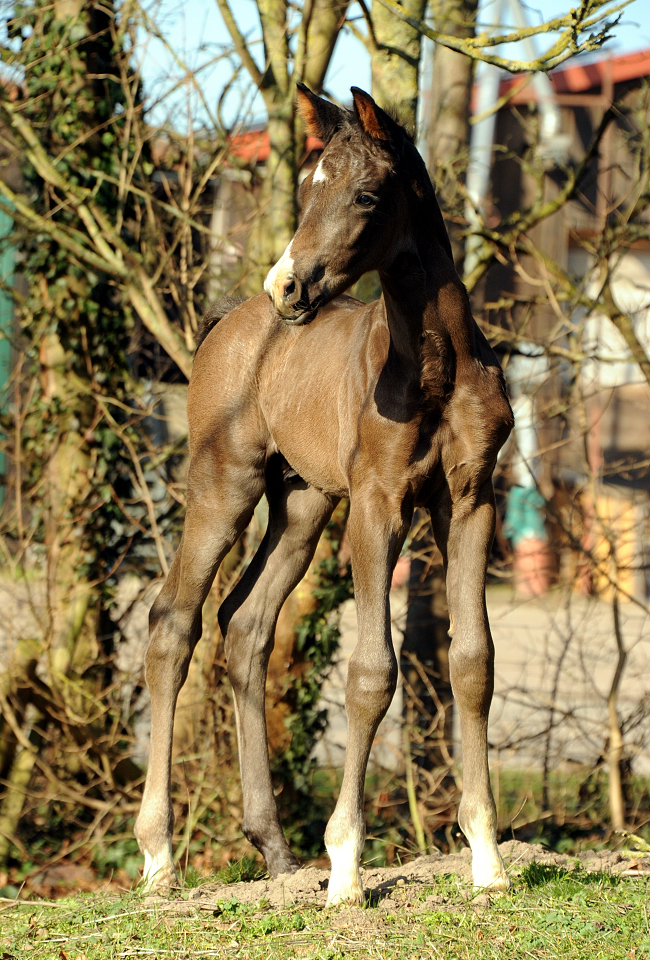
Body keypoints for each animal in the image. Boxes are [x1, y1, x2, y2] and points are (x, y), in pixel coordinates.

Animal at [134, 86, 512, 904]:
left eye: (366, 194)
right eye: (307, 188)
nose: (287, 286)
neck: (436, 366)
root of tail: (231, 322)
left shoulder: (471, 501)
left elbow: (473, 661)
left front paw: (488, 858)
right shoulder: (377, 503)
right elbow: (372, 673)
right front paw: (346, 866)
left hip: (302, 506)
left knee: (244, 624)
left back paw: (276, 854)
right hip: (224, 484)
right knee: (173, 621)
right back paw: (158, 857)